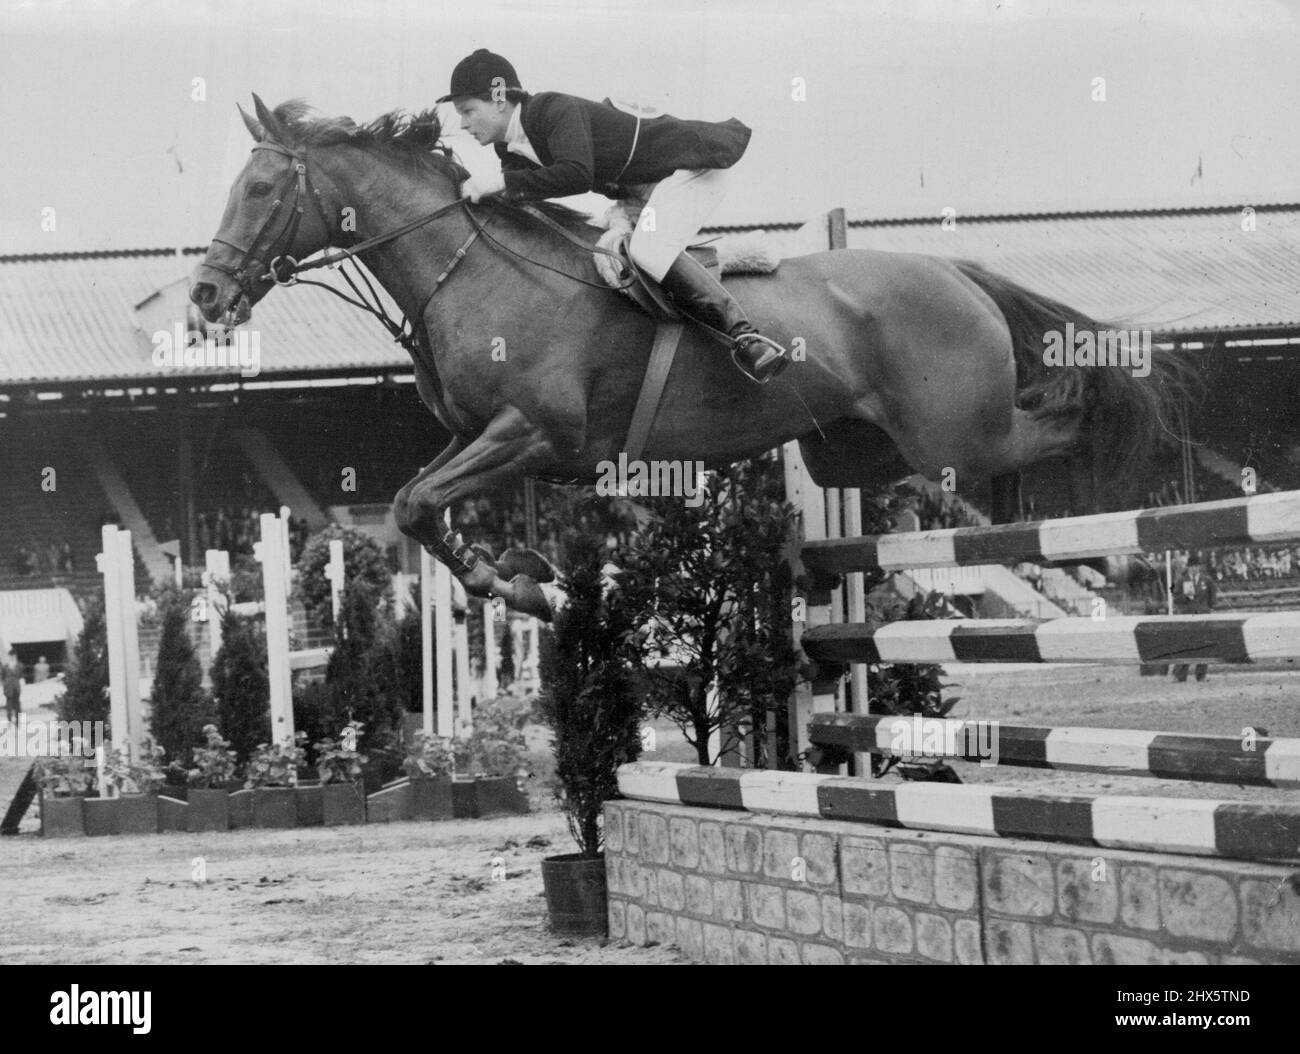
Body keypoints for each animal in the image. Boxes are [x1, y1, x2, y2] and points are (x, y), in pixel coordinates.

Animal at [188, 94, 1190, 621]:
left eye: (264, 189)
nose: (203, 297)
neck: (465, 267)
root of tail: (953, 269)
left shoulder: (535, 434)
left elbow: (415, 503)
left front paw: (515, 585)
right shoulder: (487, 439)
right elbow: (414, 505)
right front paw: (517, 578)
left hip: (956, 432)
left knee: (1059, 421)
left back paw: (1103, 527)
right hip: (854, 449)